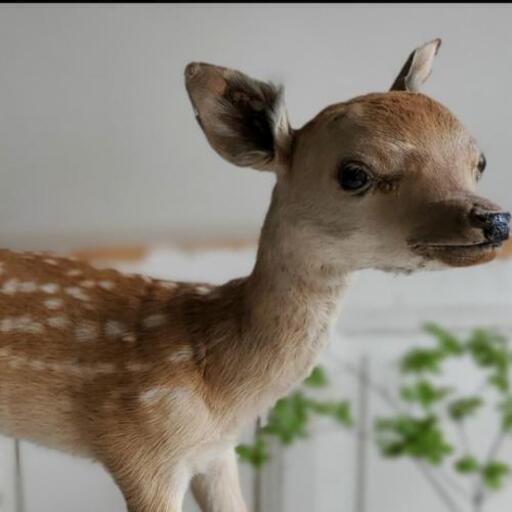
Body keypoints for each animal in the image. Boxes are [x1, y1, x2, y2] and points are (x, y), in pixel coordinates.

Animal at [1, 40, 512, 512]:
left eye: (480, 161)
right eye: (353, 173)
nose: (494, 219)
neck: (220, 389)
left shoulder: (215, 453)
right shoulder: (142, 447)